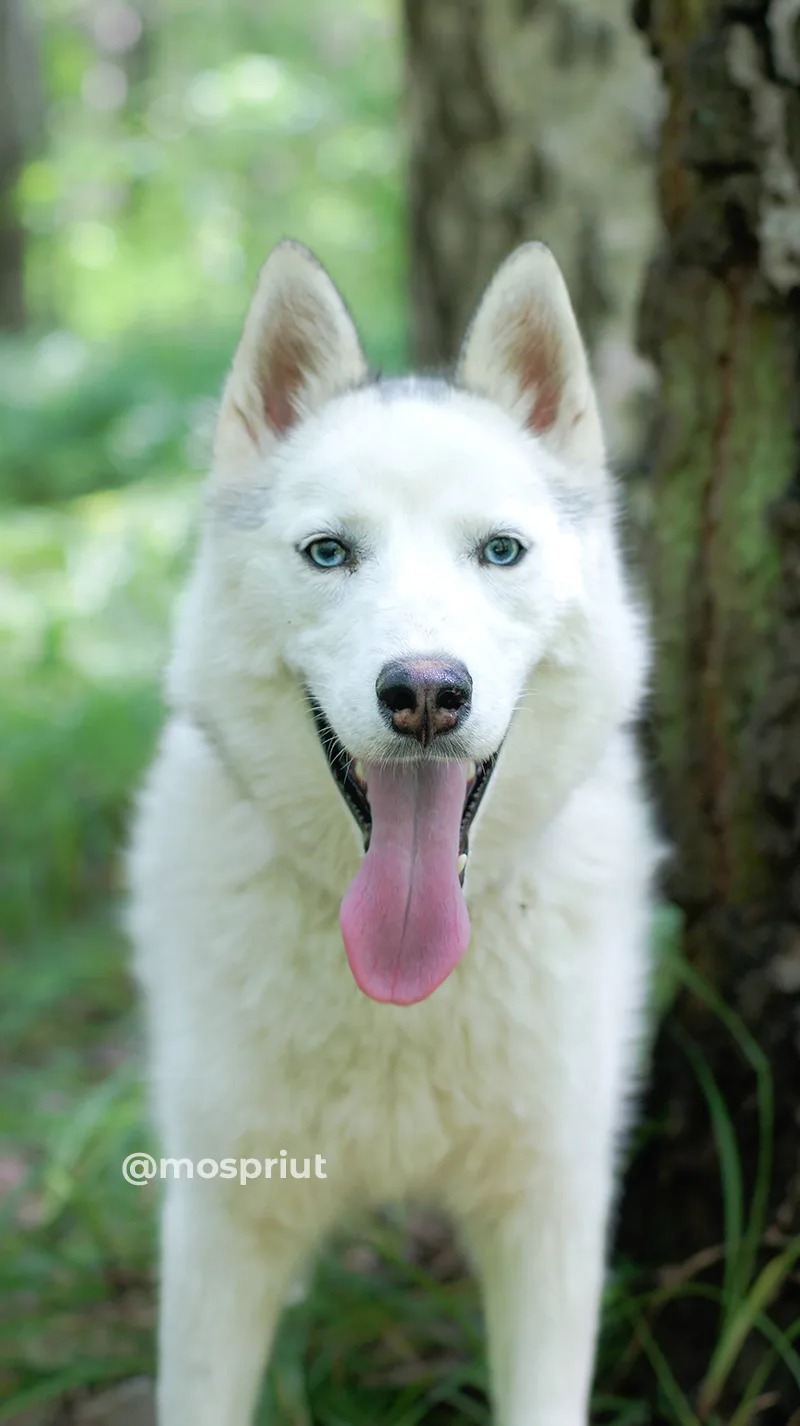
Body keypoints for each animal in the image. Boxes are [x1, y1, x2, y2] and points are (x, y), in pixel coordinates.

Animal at [127, 239, 658, 1420]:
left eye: (499, 551)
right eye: (329, 554)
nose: (423, 693)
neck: (403, 1003)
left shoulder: (549, 1220)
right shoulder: (219, 1232)